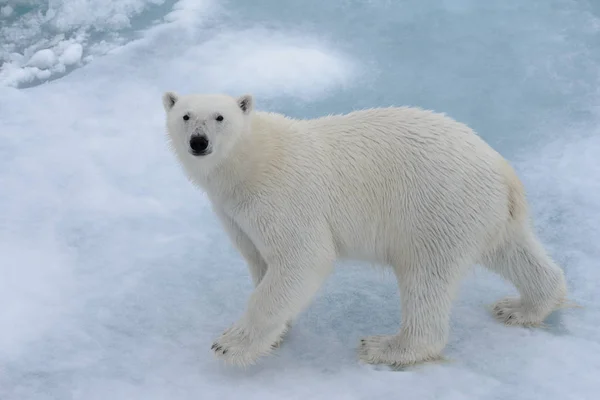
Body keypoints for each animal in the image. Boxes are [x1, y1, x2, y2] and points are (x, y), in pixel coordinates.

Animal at [159, 90, 568, 368]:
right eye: (185, 116)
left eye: (219, 117)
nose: (199, 142)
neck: (248, 162)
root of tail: (503, 169)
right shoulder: (234, 213)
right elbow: (260, 261)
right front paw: (278, 333)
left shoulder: (281, 195)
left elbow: (303, 258)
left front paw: (230, 344)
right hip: (484, 214)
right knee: (514, 252)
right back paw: (521, 307)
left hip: (435, 209)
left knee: (425, 278)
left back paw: (386, 347)